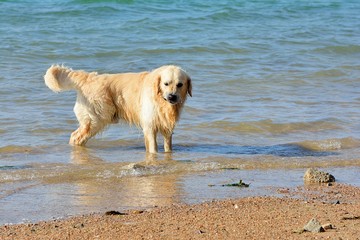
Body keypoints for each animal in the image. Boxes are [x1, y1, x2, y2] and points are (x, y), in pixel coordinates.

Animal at [44, 64, 191, 153]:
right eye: (166, 84)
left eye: (180, 84)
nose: (172, 96)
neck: (161, 101)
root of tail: (89, 77)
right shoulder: (149, 125)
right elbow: (153, 147)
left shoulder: (167, 127)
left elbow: (168, 145)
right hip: (96, 119)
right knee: (76, 136)